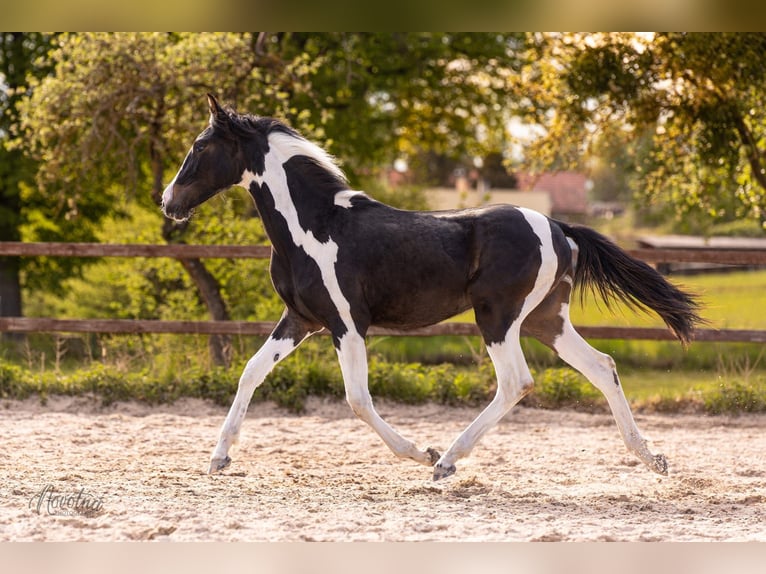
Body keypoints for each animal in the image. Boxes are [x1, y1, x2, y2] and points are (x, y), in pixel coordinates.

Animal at [161, 94, 702, 481]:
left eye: (201, 147)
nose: (169, 202)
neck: (315, 225)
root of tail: (557, 227)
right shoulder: (301, 320)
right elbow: (250, 373)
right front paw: (218, 458)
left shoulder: (347, 324)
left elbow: (357, 399)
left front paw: (422, 452)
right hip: (547, 320)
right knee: (603, 366)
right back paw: (652, 459)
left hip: (498, 317)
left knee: (517, 382)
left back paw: (446, 462)